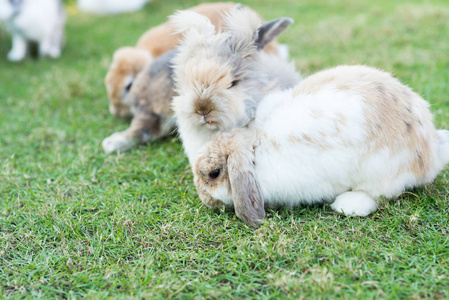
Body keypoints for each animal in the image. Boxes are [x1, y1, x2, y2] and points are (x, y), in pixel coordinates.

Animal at [192, 64, 448, 226]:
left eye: (213, 173)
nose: (204, 200)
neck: (255, 146)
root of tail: (431, 151)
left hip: (380, 171)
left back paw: (348, 205)